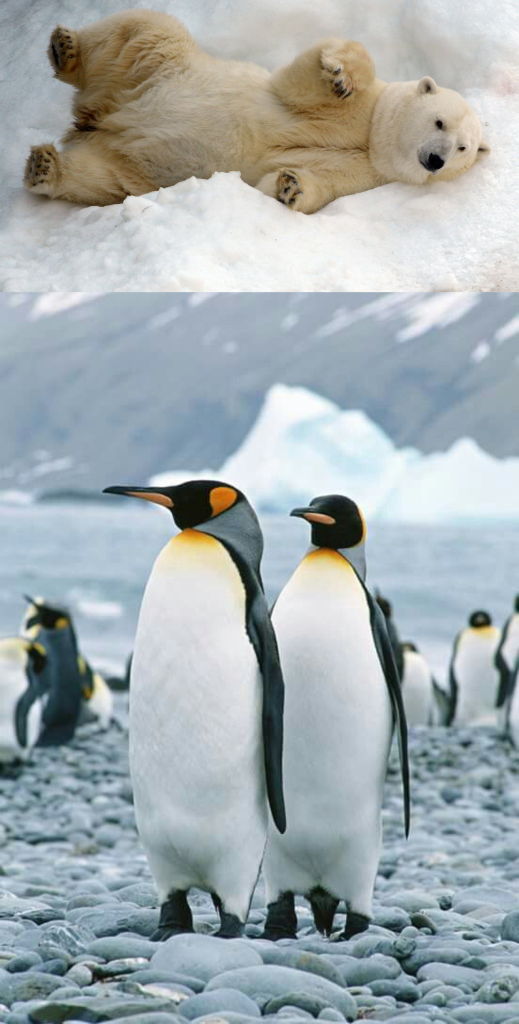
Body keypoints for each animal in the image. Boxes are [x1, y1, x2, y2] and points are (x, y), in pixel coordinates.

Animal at [24, 8, 490, 213]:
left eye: (463, 148)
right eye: (439, 121)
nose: (435, 160)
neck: (372, 139)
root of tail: (98, 118)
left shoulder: (367, 175)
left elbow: (313, 183)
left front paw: (290, 186)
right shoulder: (348, 109)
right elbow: (301, 81)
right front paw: (341, 75)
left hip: (132, 166)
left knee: (104, 179)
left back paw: (46, 167)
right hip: (160, 69)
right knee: (145, 30)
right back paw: (66, 48)